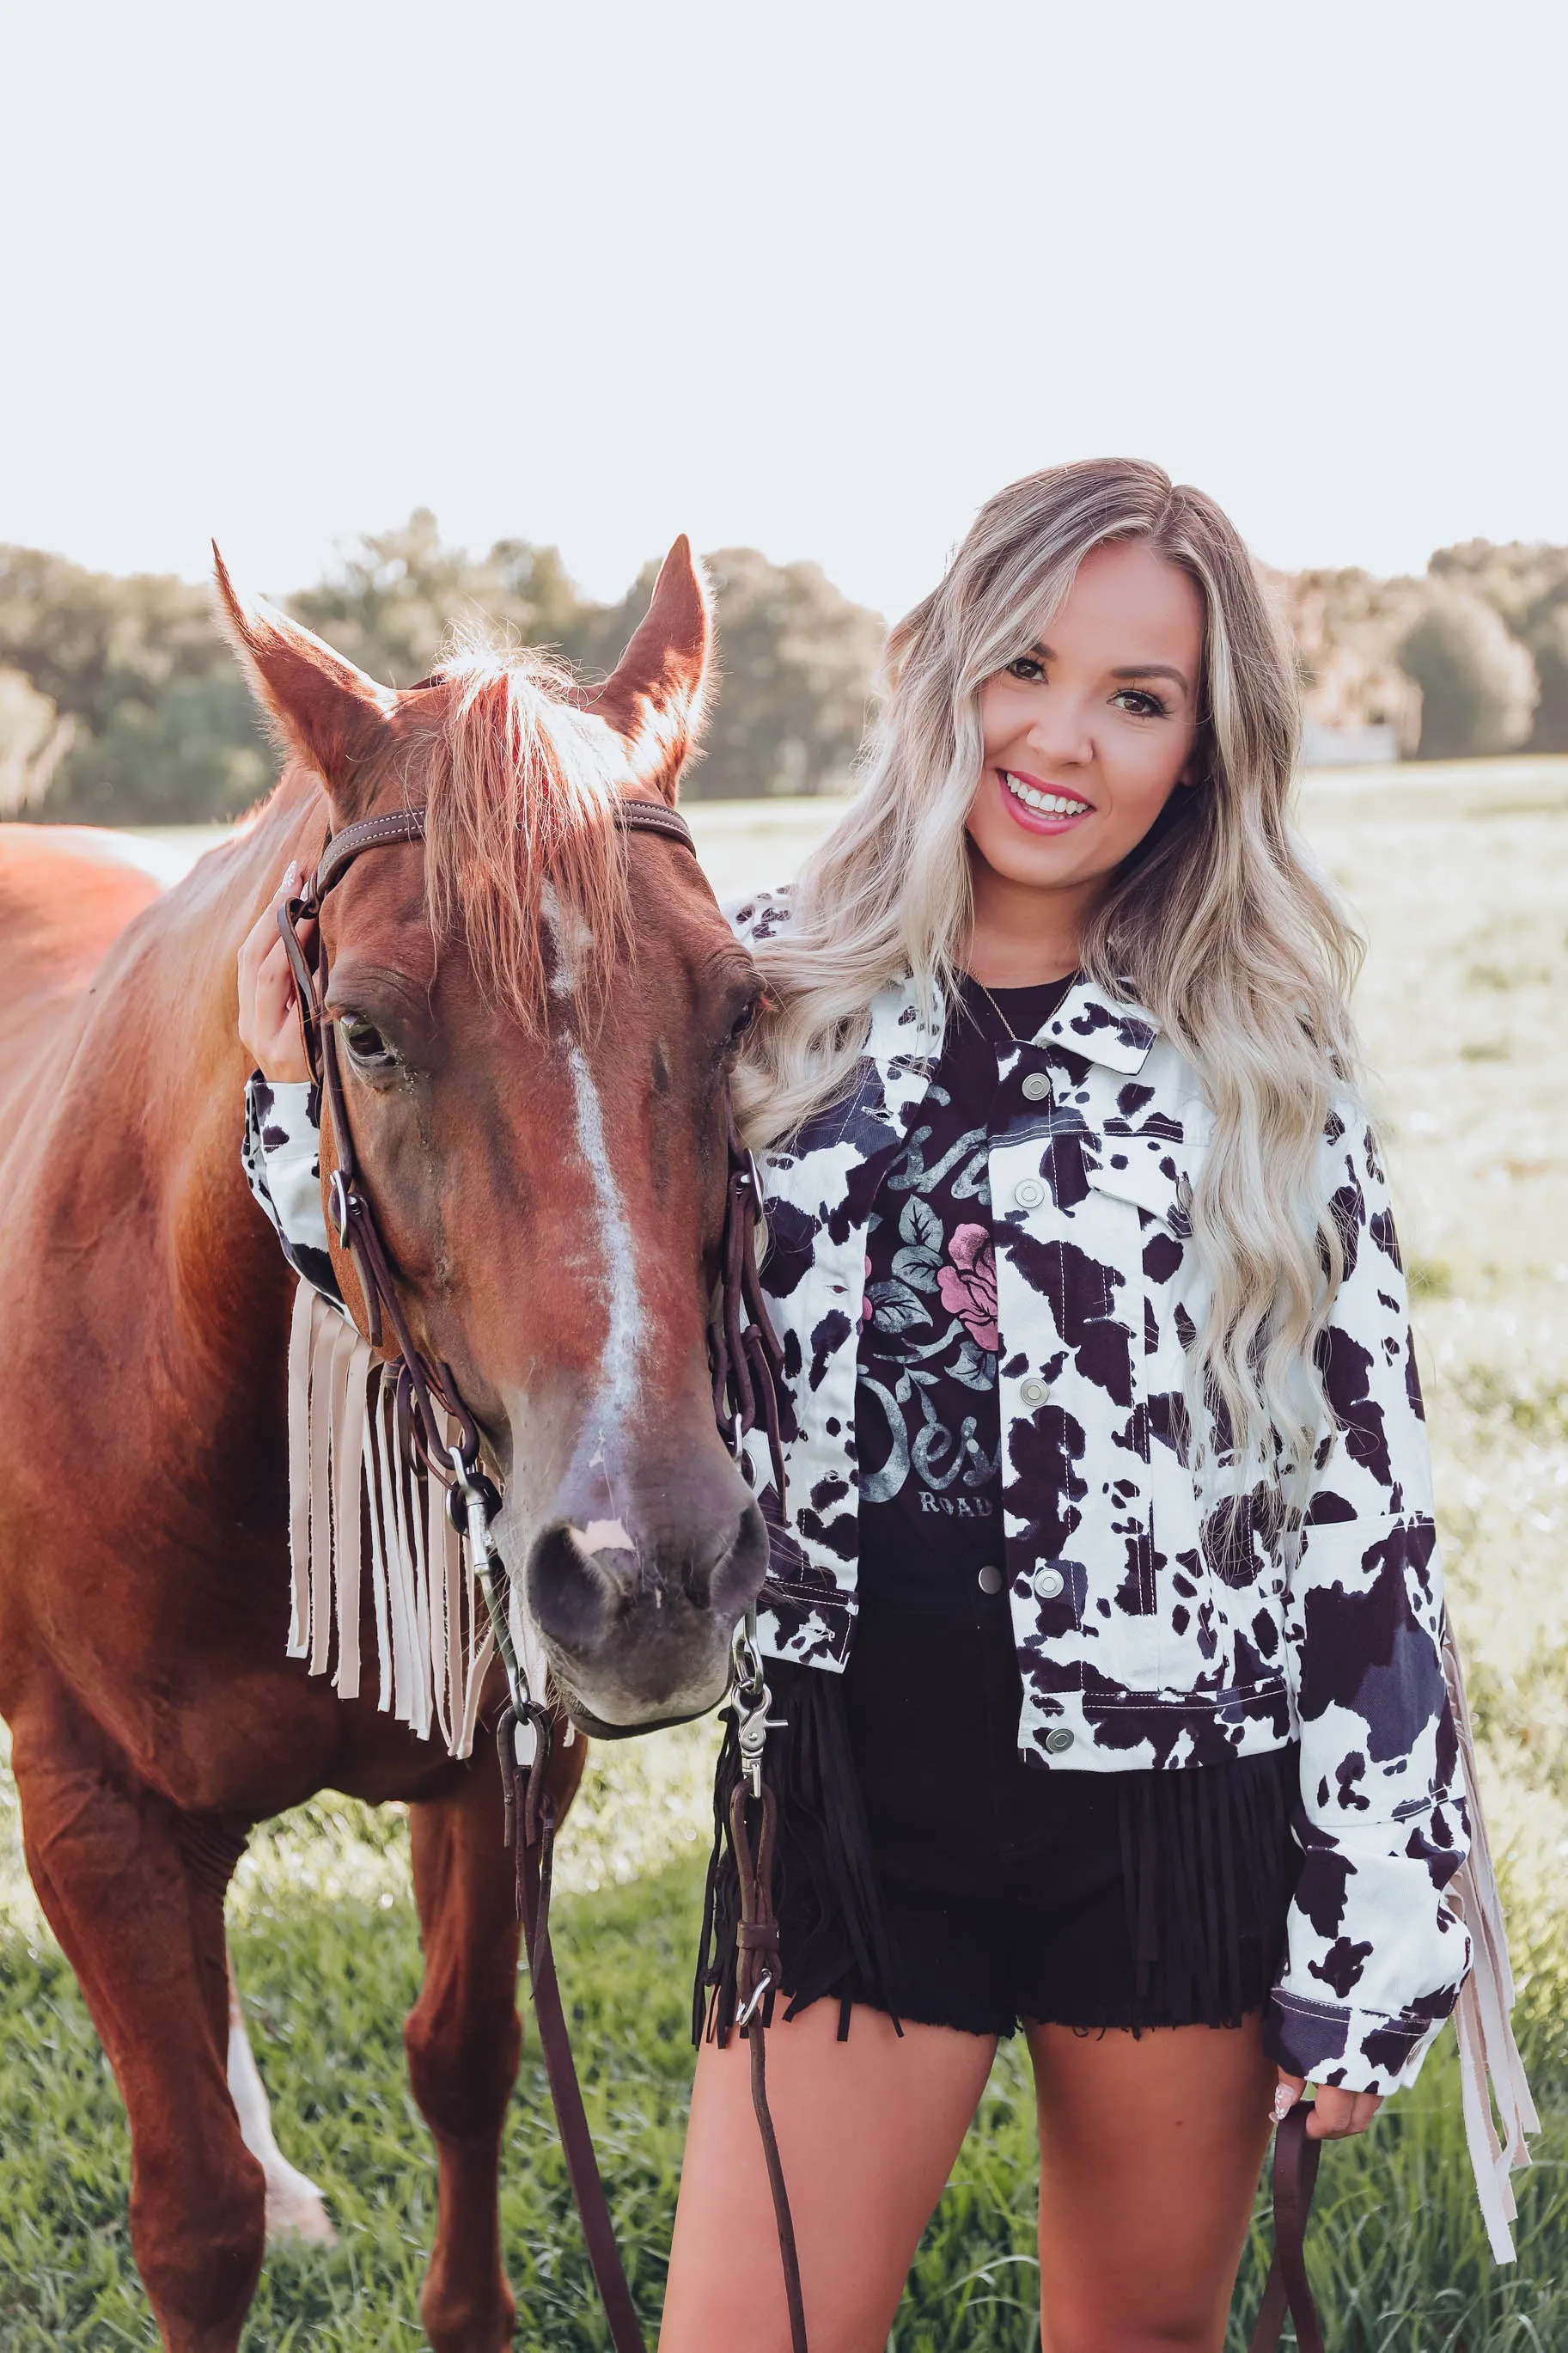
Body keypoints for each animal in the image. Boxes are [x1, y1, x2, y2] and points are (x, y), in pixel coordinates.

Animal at [0, 541, 766, 2344]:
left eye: (739, 1006)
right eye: (361, 1030)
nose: (654, 1571)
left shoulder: (502, 1769)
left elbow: (464, 2066)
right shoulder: (89, 1814)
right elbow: (192, 2218)